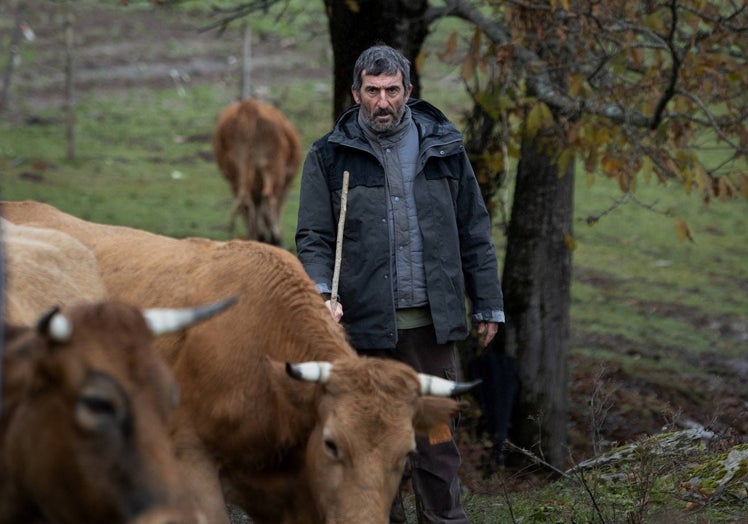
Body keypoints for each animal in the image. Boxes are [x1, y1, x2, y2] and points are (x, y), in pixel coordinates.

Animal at [210, 98, 300, 246]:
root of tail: (249, 106)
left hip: (237, 175)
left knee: (246, 203)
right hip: (273, 170)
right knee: (268, 198)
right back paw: (274, 239)